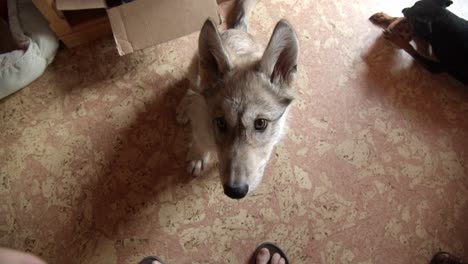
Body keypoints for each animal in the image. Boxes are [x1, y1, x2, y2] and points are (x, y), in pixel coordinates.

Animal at [176, 0, 300, 198]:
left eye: (261, 123)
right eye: (221, 122)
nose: (234, 191)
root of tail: (238, 30)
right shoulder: (201, 121)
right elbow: (199, 139)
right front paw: (197, 156)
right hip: (196, 71)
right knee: (192, 88)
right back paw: (183, 108)